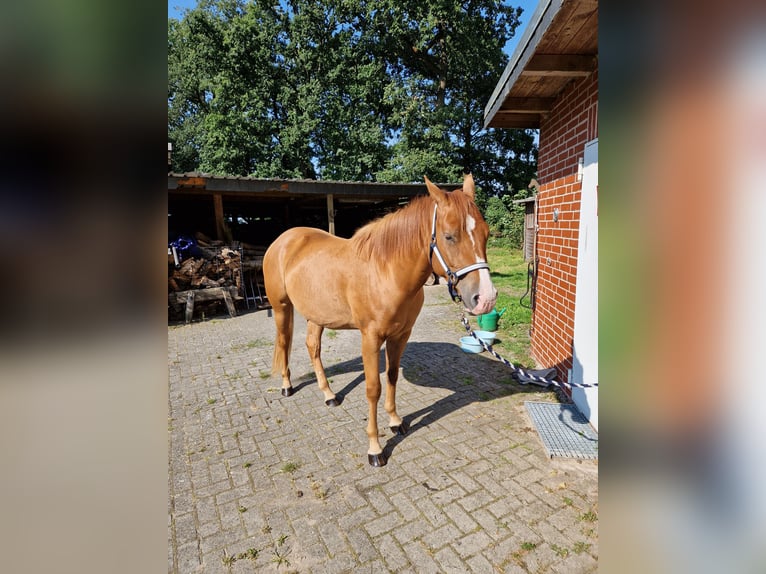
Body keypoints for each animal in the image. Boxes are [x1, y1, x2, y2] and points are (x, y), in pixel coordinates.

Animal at [262, 174, 498, 468]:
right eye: (449, 236)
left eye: (486, 234)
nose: (486, 298)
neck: (386, 271)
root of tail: (283, 240)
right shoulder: (370, 338)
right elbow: (373, 388)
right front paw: (375, 448)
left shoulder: (401, 335)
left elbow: (392, 377)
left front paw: (396, 422)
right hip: (282, 308)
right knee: (284, 344)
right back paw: (286, 387)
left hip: (317, 314)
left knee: (312, 347)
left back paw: (329, 395)